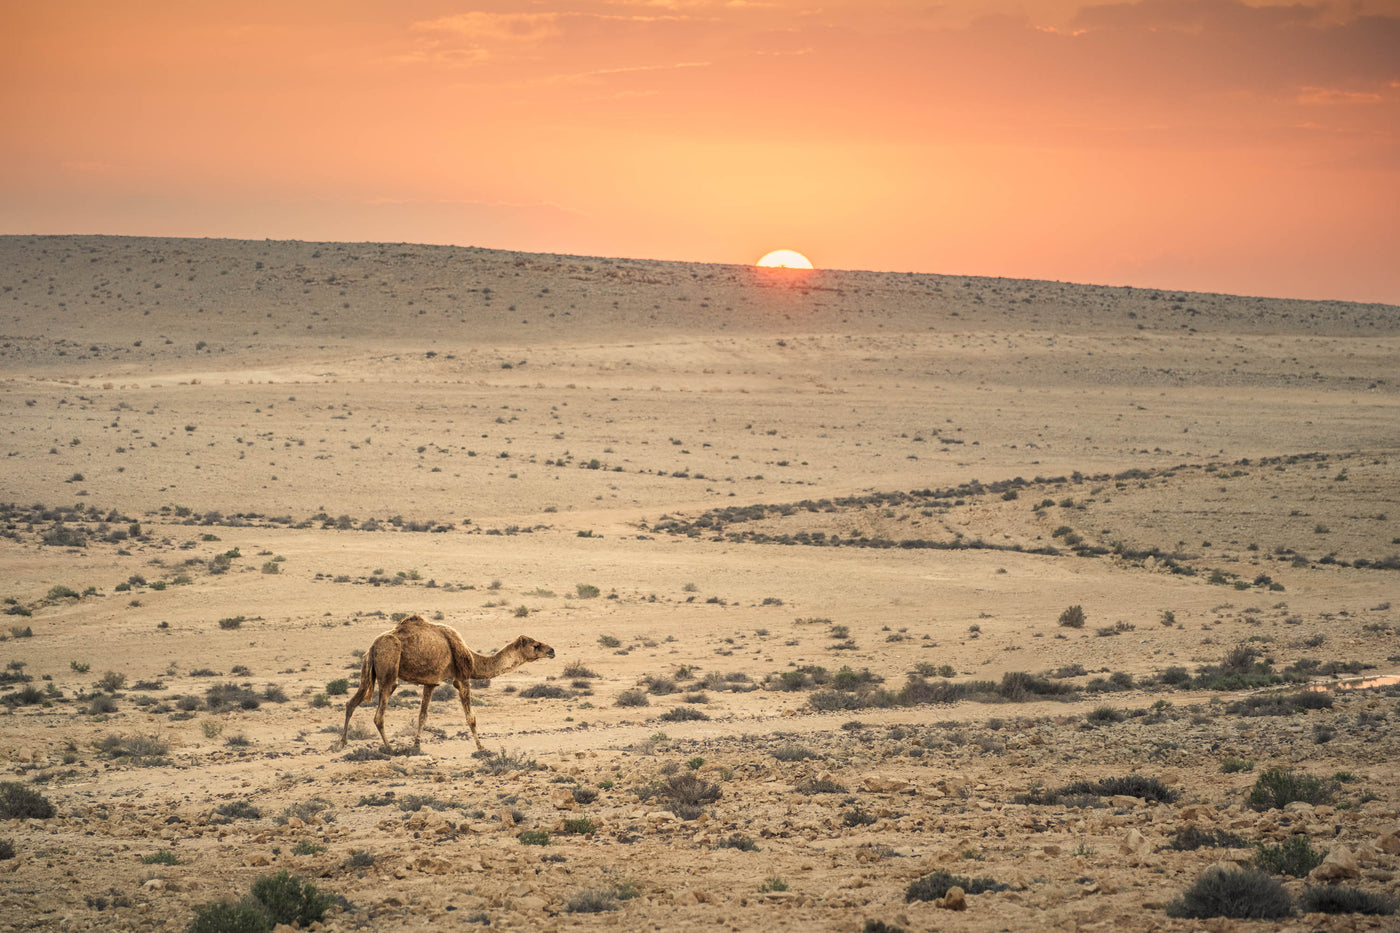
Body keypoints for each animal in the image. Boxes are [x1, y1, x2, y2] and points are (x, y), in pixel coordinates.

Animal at [336, 613, 554, 750]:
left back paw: (341, 743)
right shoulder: (462, 678)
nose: (551, 650)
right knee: (379, 715)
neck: (473, 659)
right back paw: (390, 748)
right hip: (389, 669)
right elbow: (471, 718)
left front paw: (416, 746)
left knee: (351, 703)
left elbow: (422, 715)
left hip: (367, 672)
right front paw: (481, 747)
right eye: (536, 645)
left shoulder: (431, 682)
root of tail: (372, 647)